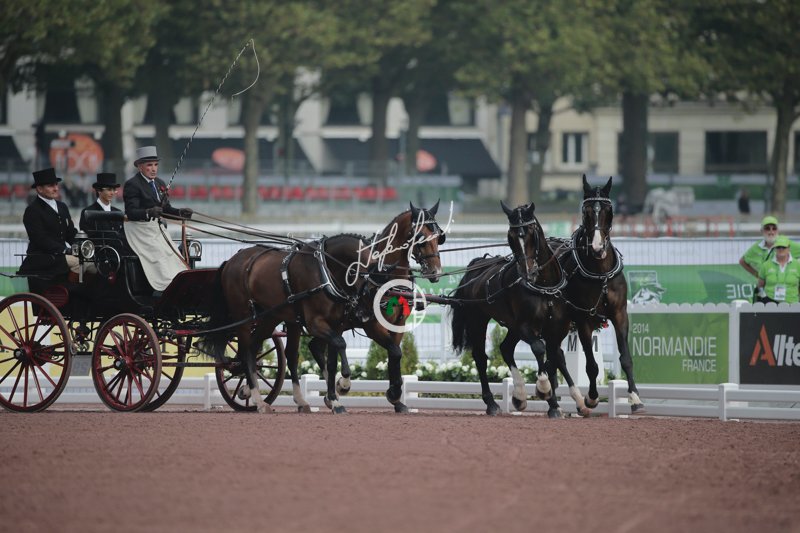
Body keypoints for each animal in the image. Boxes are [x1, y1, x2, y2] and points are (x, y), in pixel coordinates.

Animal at [200, 233, 372, 414]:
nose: (365, 312)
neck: (324, 270)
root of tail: (231, 261)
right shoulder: (315, 323)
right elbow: (340, 344)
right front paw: (343, 385)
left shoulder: (336, 325)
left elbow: (332, 360)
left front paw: (335, 399)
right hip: (243, 317)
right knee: (247, 352)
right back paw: (259, 400)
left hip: (270, 316)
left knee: (257, 349)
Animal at [291, 202, 445, 414]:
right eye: (421, 237)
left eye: (439, 237)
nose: (435, 272)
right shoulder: (372, 326)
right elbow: (395, 352)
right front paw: (393, 394)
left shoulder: (398, 324)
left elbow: (394, 355)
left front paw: (397, 399)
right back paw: (334, 394)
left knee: (318, 348)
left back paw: (332, 396)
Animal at [450, 201, 587, 416]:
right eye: (511, 237)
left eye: (532, 234)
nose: (527, 272)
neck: (544, 286)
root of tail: (476, 265)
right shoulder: (525, 326)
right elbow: (540, 349)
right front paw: (544, 389)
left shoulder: (557, 328)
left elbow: (555, 357)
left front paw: (563, 403)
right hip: (478, 320)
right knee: (481, 357)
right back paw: (494, 403)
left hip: (511, 327)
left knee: (506, 348)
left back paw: (520, 396)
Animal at [549, 175, 645, 414]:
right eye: (586, 211)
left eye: (609, 210)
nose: (597, 246)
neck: (601, 274)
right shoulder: (584, 319)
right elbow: (591, 365)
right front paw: (592, 398)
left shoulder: (620, 314)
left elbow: (625, 357)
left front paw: (635, 398)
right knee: (555, 355)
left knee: (554, 355)